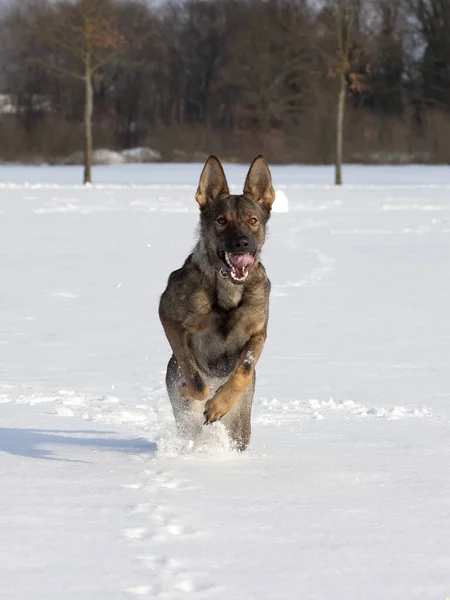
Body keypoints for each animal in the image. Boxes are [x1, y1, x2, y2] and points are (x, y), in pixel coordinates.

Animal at [160, 155, 276, 450]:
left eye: (253, 220)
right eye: (222, 220)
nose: (242, 243)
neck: (228, 290)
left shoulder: (258, 333)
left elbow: (244, 369)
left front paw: (219, 404)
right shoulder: (169, 318)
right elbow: (195, 379)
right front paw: (192, 392)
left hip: (241, 427)